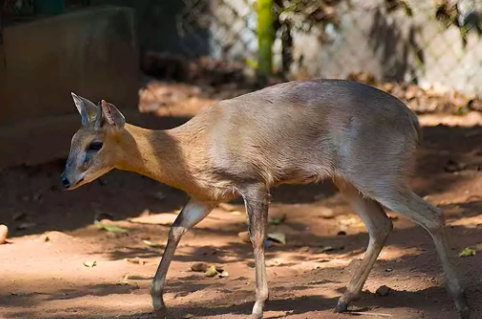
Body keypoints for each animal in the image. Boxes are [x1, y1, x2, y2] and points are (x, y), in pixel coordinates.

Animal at [61, 79, 470, 318]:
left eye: (95, 144)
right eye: (72, 141)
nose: (65, 180)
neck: (190, 148)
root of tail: (413, 122)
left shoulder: (253, 181)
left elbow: (257, 237)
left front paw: (258, 305)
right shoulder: (207, 195)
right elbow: (176, 229)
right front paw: (157, 301)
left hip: (378, 174)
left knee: (432, 215)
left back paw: (461, 300)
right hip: (348, 181)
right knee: (382, 226)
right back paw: (343, 299)